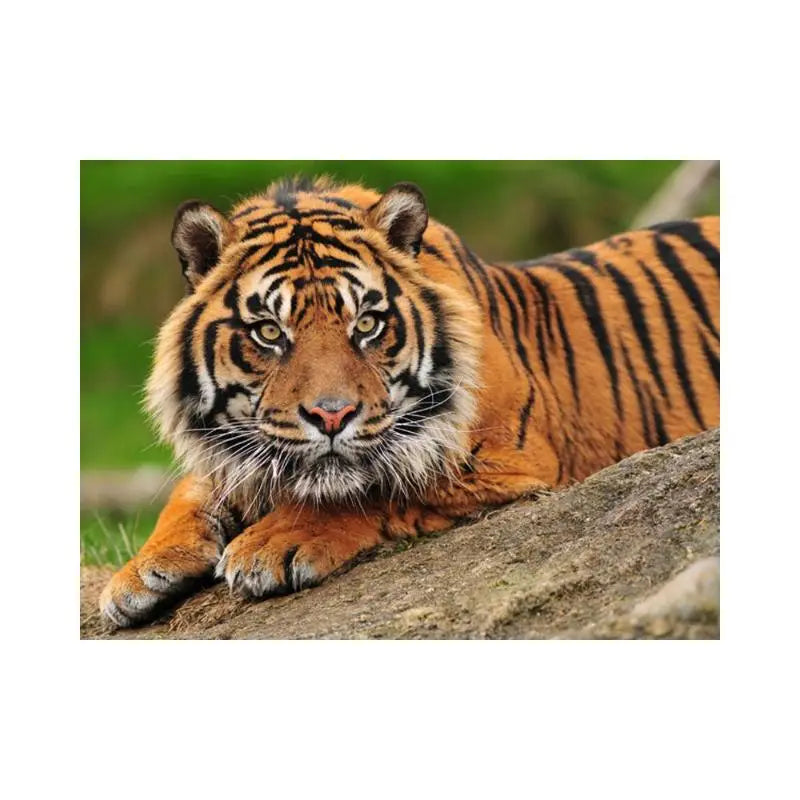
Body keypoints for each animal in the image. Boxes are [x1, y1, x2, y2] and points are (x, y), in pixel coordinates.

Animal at [99, 176, 720, 628]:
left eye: (367, 325)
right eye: (270, 332)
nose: (331, 416)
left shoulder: (509, 462)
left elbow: (372, 487)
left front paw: (270, 544)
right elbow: (192, 490)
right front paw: (138, 574)